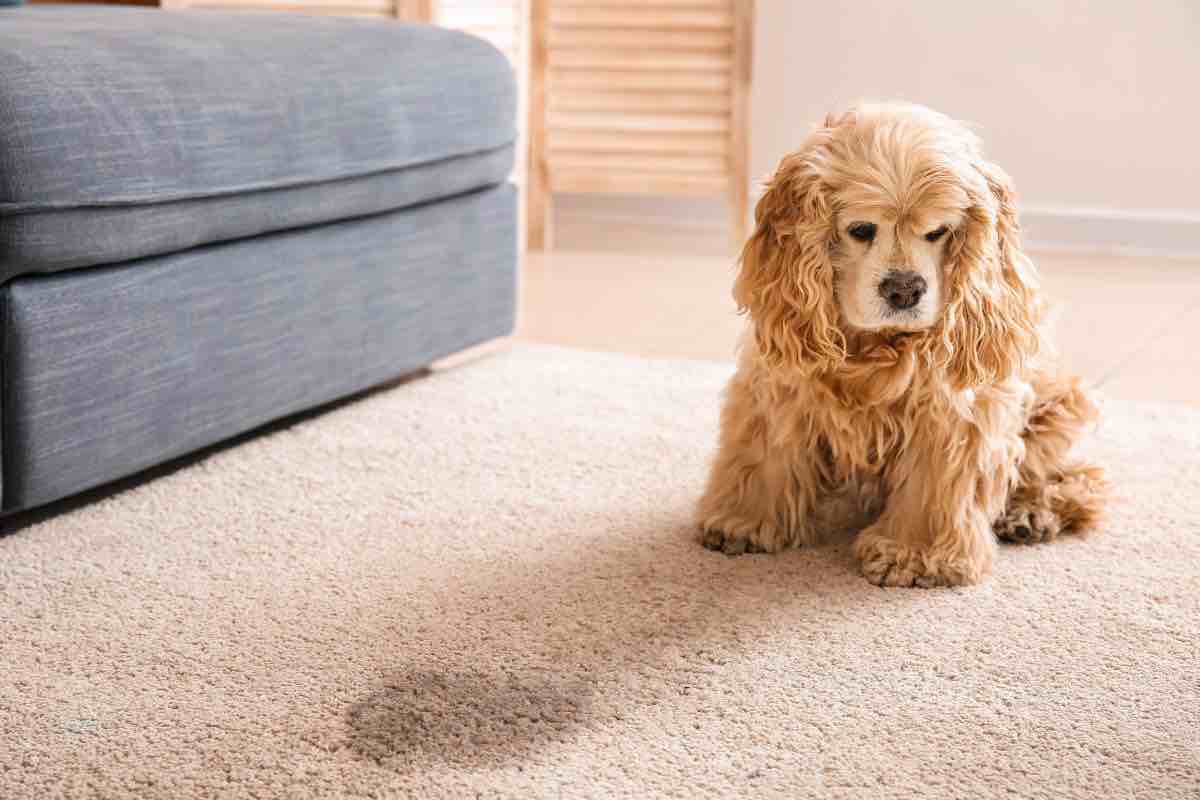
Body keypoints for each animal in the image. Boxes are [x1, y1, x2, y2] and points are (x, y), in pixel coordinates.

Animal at [700, 103, 1108, 585]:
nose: (904, 290)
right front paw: (743, 521)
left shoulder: (953, 412)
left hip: (1059, 405)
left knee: (1076, 476)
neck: (873, 347)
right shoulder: (781, 384)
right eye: (861, 229)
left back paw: (1028, 515)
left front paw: (914, 554)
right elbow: (765, 454)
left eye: (938, 232)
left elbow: (934, 484)